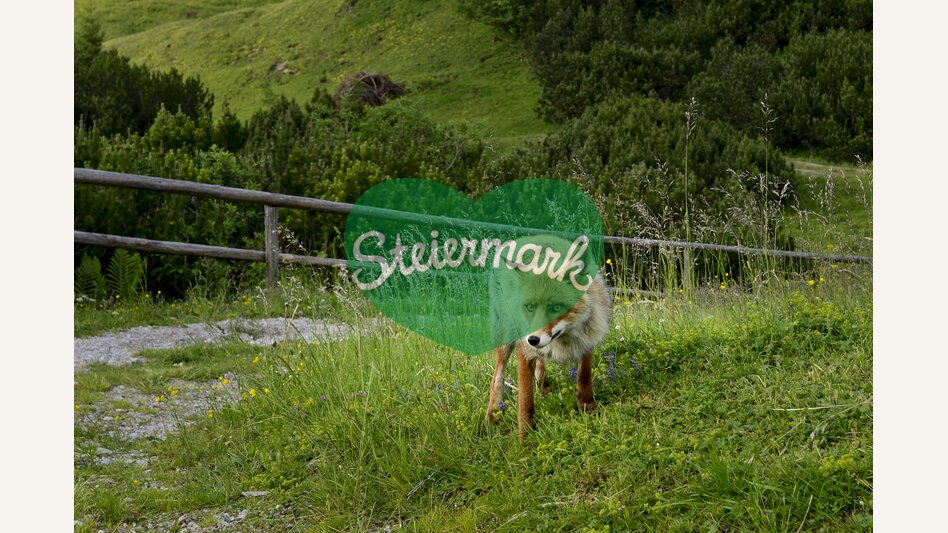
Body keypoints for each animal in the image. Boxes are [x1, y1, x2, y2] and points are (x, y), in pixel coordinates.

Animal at [485, 234, 612, 438]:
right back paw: (493, 415)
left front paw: (588, 409)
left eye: (556, 307)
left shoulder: (587, 341)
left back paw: (543, 389)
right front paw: (526, 438)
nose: (532, 339)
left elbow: (584, 377)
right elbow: (525, 402)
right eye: (529, 307)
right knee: (497, 376)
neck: (565, 339)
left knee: (540, 367)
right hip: (505, 337)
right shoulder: (524, 351)